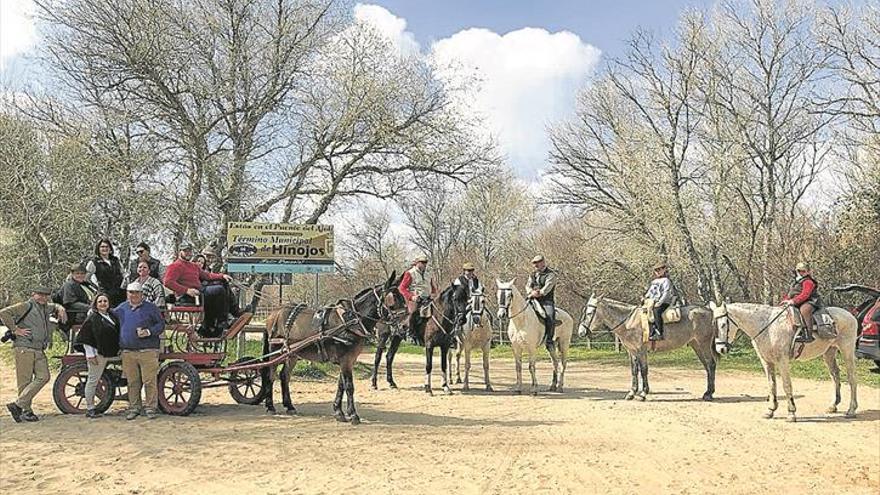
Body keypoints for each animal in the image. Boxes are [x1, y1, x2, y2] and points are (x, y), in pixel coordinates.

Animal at [260, 274, 408, 424]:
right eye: (393, 299)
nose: (405, 326)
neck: (350, 321)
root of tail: (274, 312)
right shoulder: (346, 360)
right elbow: (349, 386)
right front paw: (353, 414)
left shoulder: (348, 360)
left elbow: (341, 385)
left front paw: (338, 411)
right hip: (275, 350)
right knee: (271, 375)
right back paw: (270, 405)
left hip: (292, 354)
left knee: (284, 375)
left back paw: (289, 405)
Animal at [580, 296, 720, 402]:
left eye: (589, 313)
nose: (581, 332)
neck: (629, 322)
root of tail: (709, 311)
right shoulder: (632, 352)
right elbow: (634, 371)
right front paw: (631, 393)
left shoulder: (641, 351)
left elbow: (643, 370)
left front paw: (643, 394)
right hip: (696, 345)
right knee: (707, 365)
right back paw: (708, 392)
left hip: (703, 344)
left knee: (711, 364)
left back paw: (709, 394)